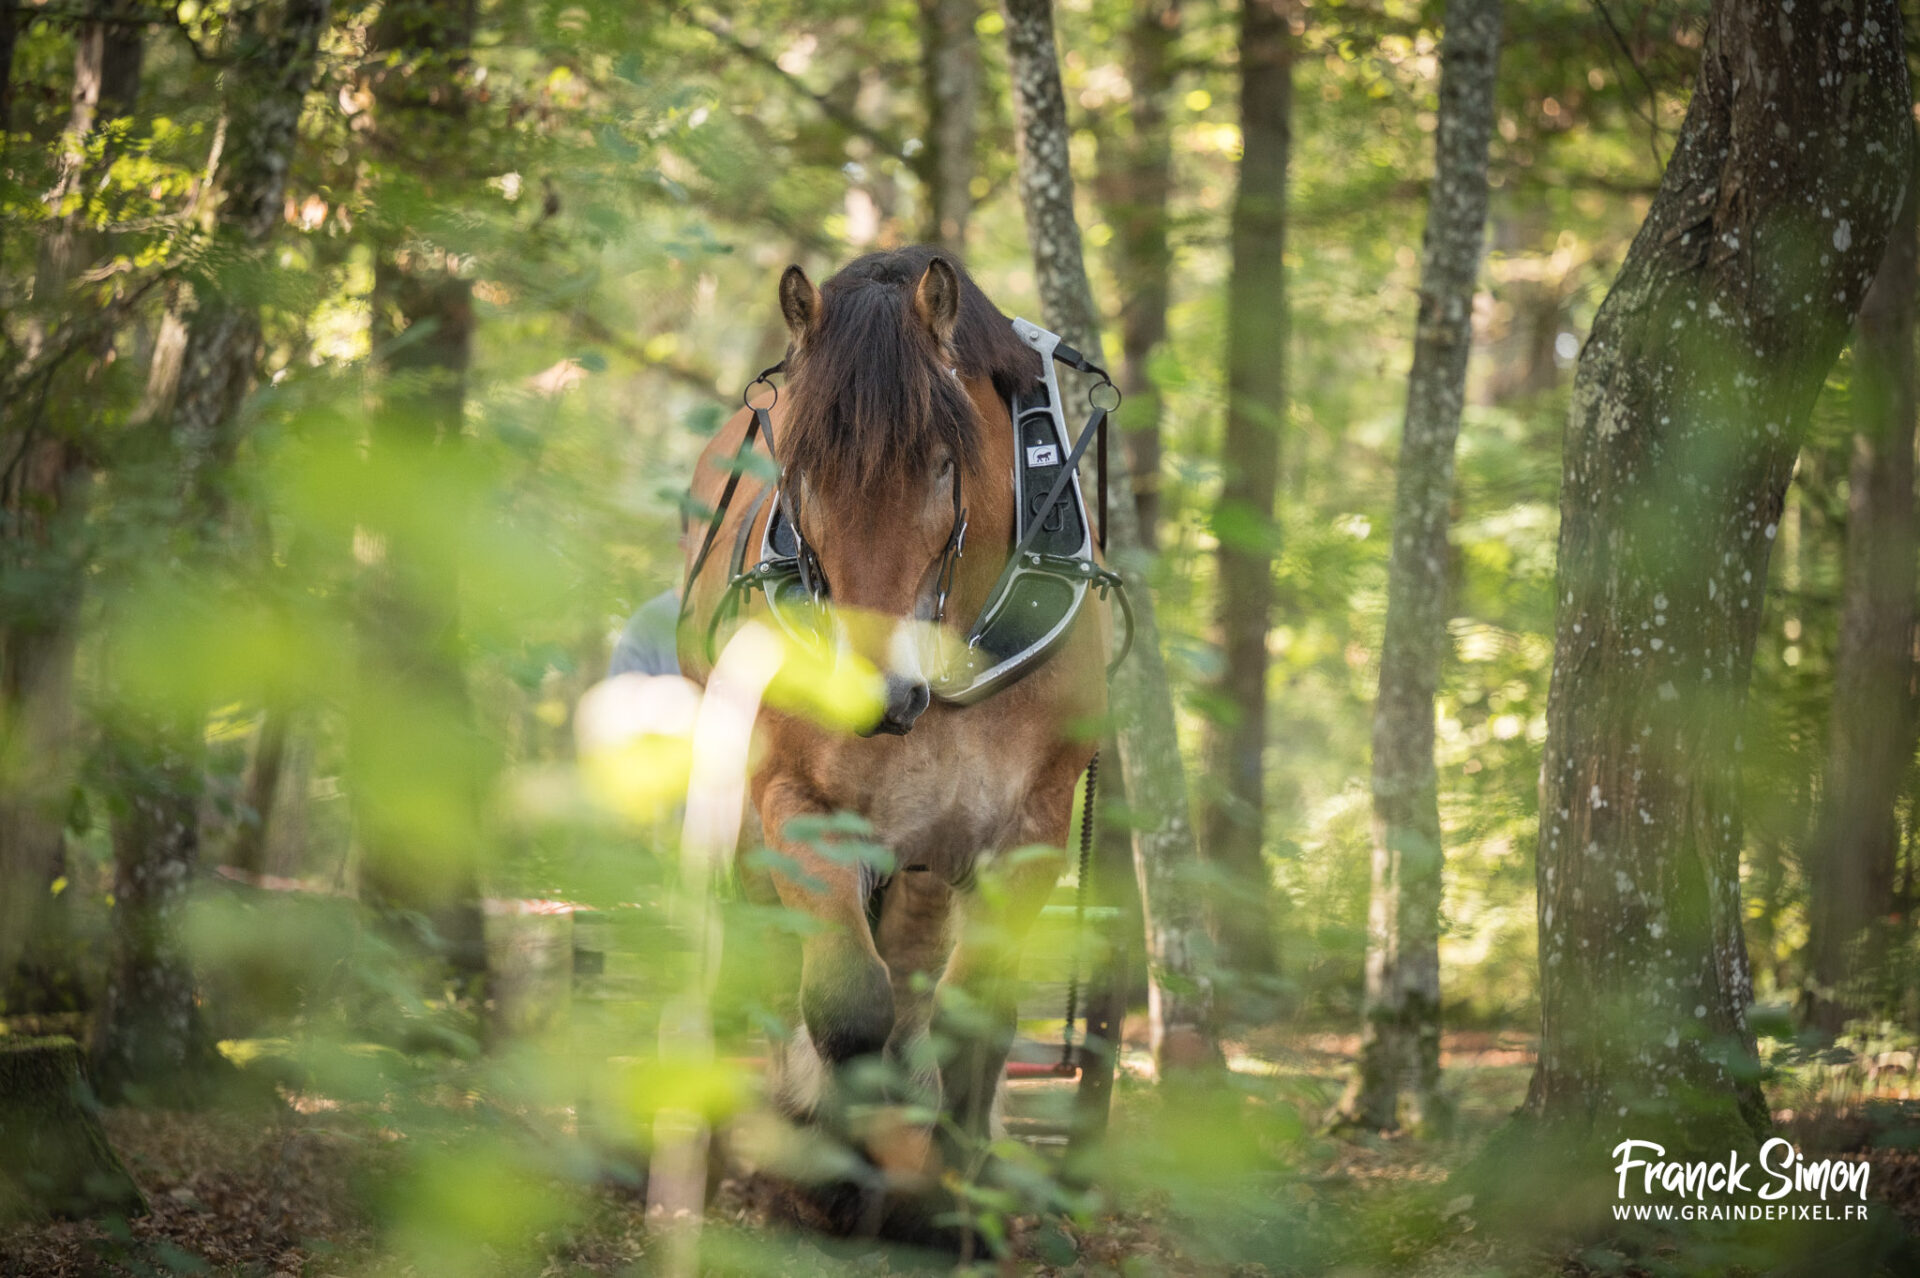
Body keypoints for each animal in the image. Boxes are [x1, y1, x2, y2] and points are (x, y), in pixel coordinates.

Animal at [677, 246, 1110, 1232]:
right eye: (797, 469)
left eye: (945, 465)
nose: (868, 689)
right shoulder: (794, 800)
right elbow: (846, 1003)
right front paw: (837, 1164)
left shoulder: (1030, 827)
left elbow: (968, 1015)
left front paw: (952, 1188)